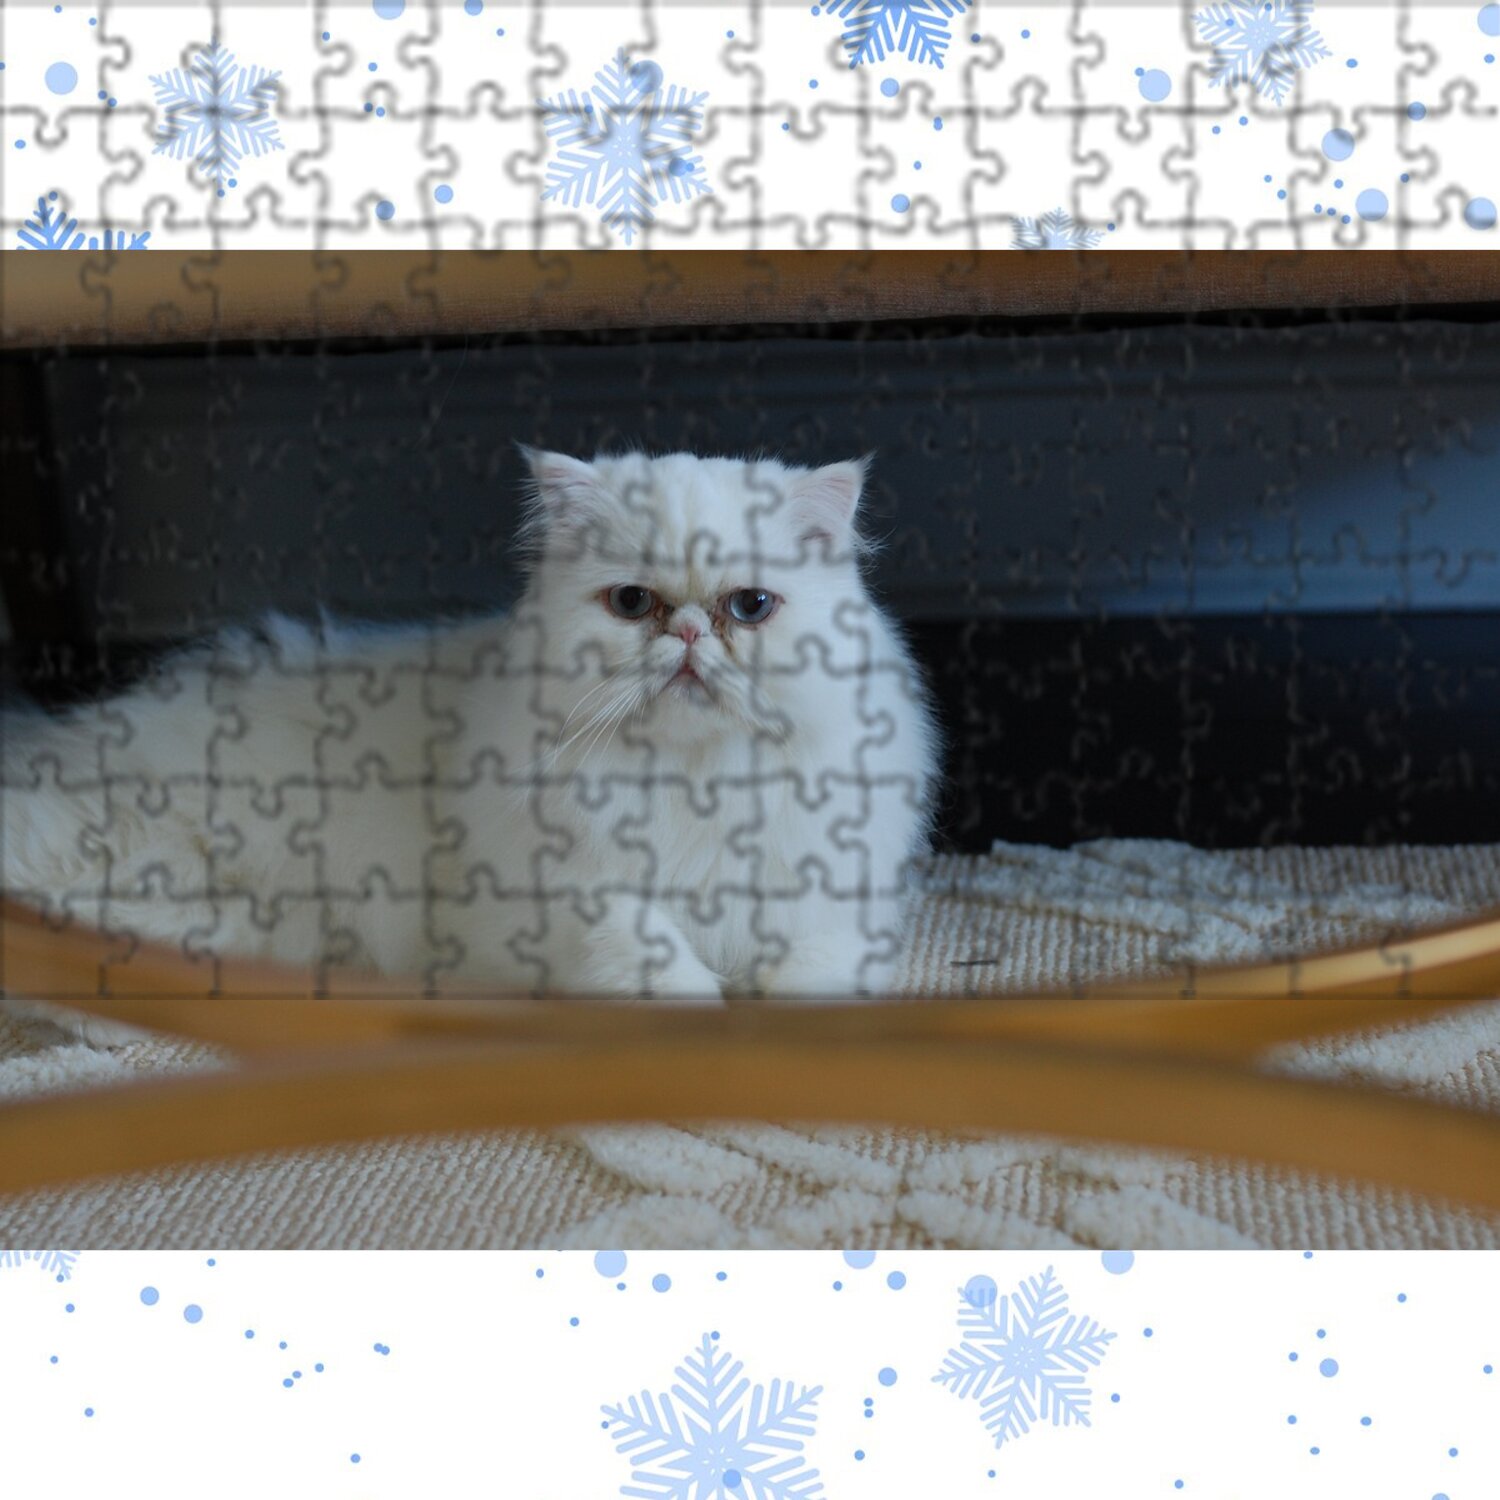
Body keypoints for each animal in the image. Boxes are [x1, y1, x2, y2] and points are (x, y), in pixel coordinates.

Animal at [1, 448, 941, 1007]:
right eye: (632, 602)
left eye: (748, 607)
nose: (685, 636)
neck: (692, 783)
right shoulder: (574, 902)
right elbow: (658, 964)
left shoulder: (828, 896)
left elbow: (806, 975)